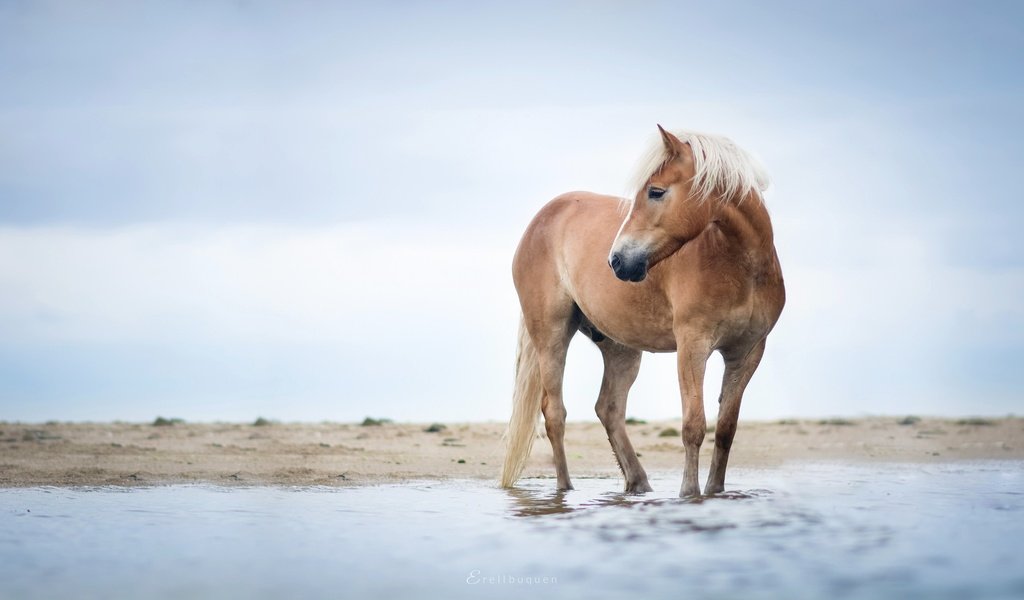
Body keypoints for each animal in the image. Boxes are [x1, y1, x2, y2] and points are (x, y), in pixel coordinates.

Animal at [501, 124, 782, 495]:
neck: (741, 266)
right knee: (555, 413)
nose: (617, 261)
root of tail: (541, 220)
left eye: (656, 191)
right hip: (551, 334)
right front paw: (689, 494)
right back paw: (566, 488)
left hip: (620, 348)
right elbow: (694, 425)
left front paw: (714, 492)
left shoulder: (747, 352)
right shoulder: (693, 345)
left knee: (609, 408)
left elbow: (725, 429)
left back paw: (639, 483)